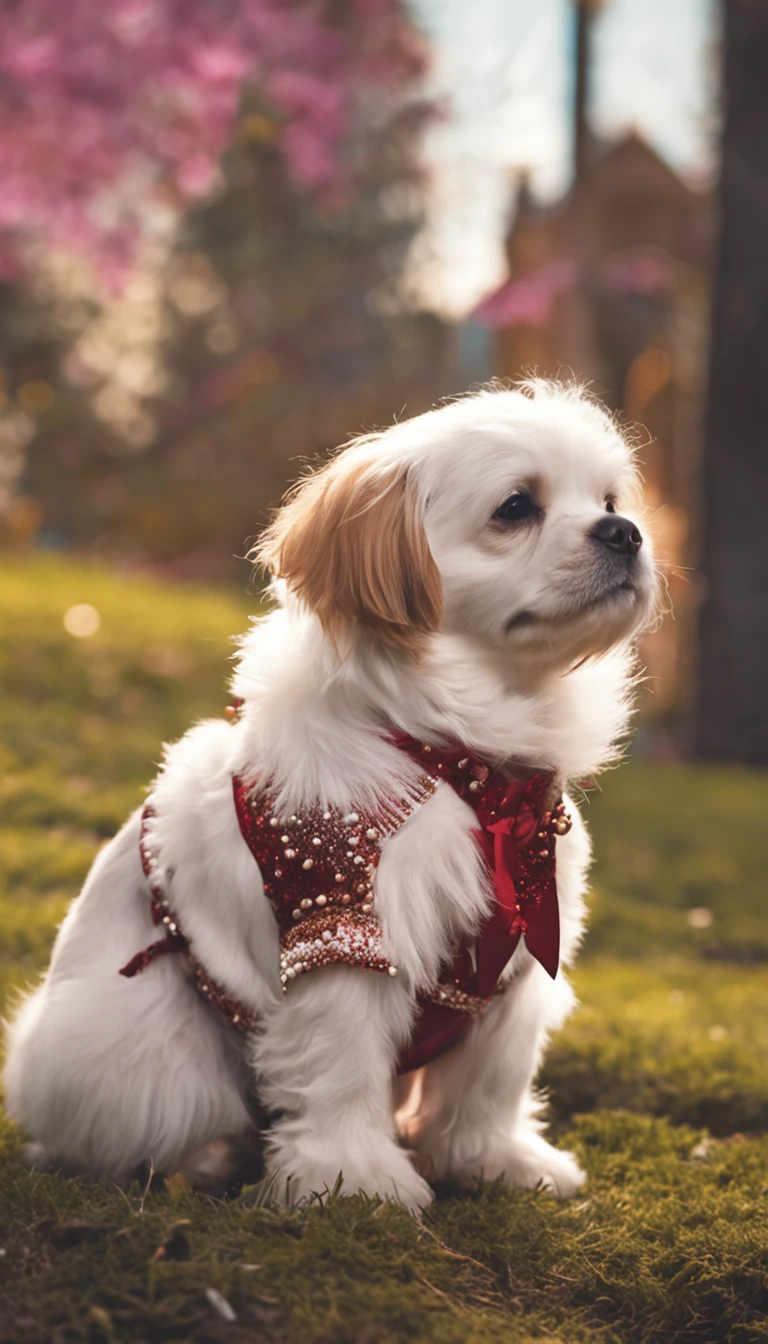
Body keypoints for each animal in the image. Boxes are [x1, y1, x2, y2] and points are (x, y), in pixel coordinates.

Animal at [3, 379, 659, 1209]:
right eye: (516, 507)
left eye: (609, 499)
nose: (625, 532)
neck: (468, 769)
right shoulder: (343, 925)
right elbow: (343, 1066)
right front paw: (355, 1180)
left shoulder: (517, 960)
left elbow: (489, 1081)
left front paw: (494, 1159)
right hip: (161, 1066)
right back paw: (202, 1163)